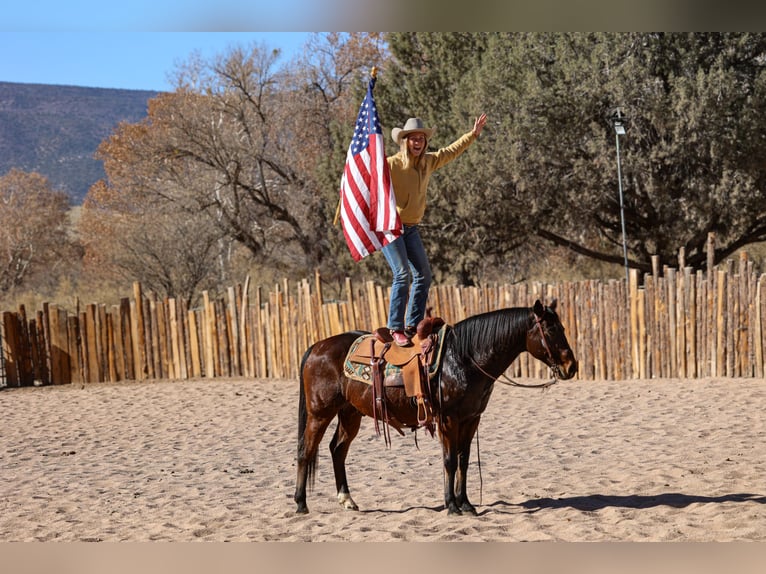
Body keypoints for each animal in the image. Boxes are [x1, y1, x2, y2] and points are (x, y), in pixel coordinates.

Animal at [294, 302, 576, 516]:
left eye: (563, 327)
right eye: (550, 329)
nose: (571, 366)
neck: (464, 357)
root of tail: (317, 347)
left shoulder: (471, 419)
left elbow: (464, 460)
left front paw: (466, 504)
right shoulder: (449, 419)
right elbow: (449, 461)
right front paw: (451, 505)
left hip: (350, 412)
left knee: (337, 449)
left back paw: (347, 500)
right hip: (319, 413)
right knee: (306, 450)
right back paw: (300, 503)